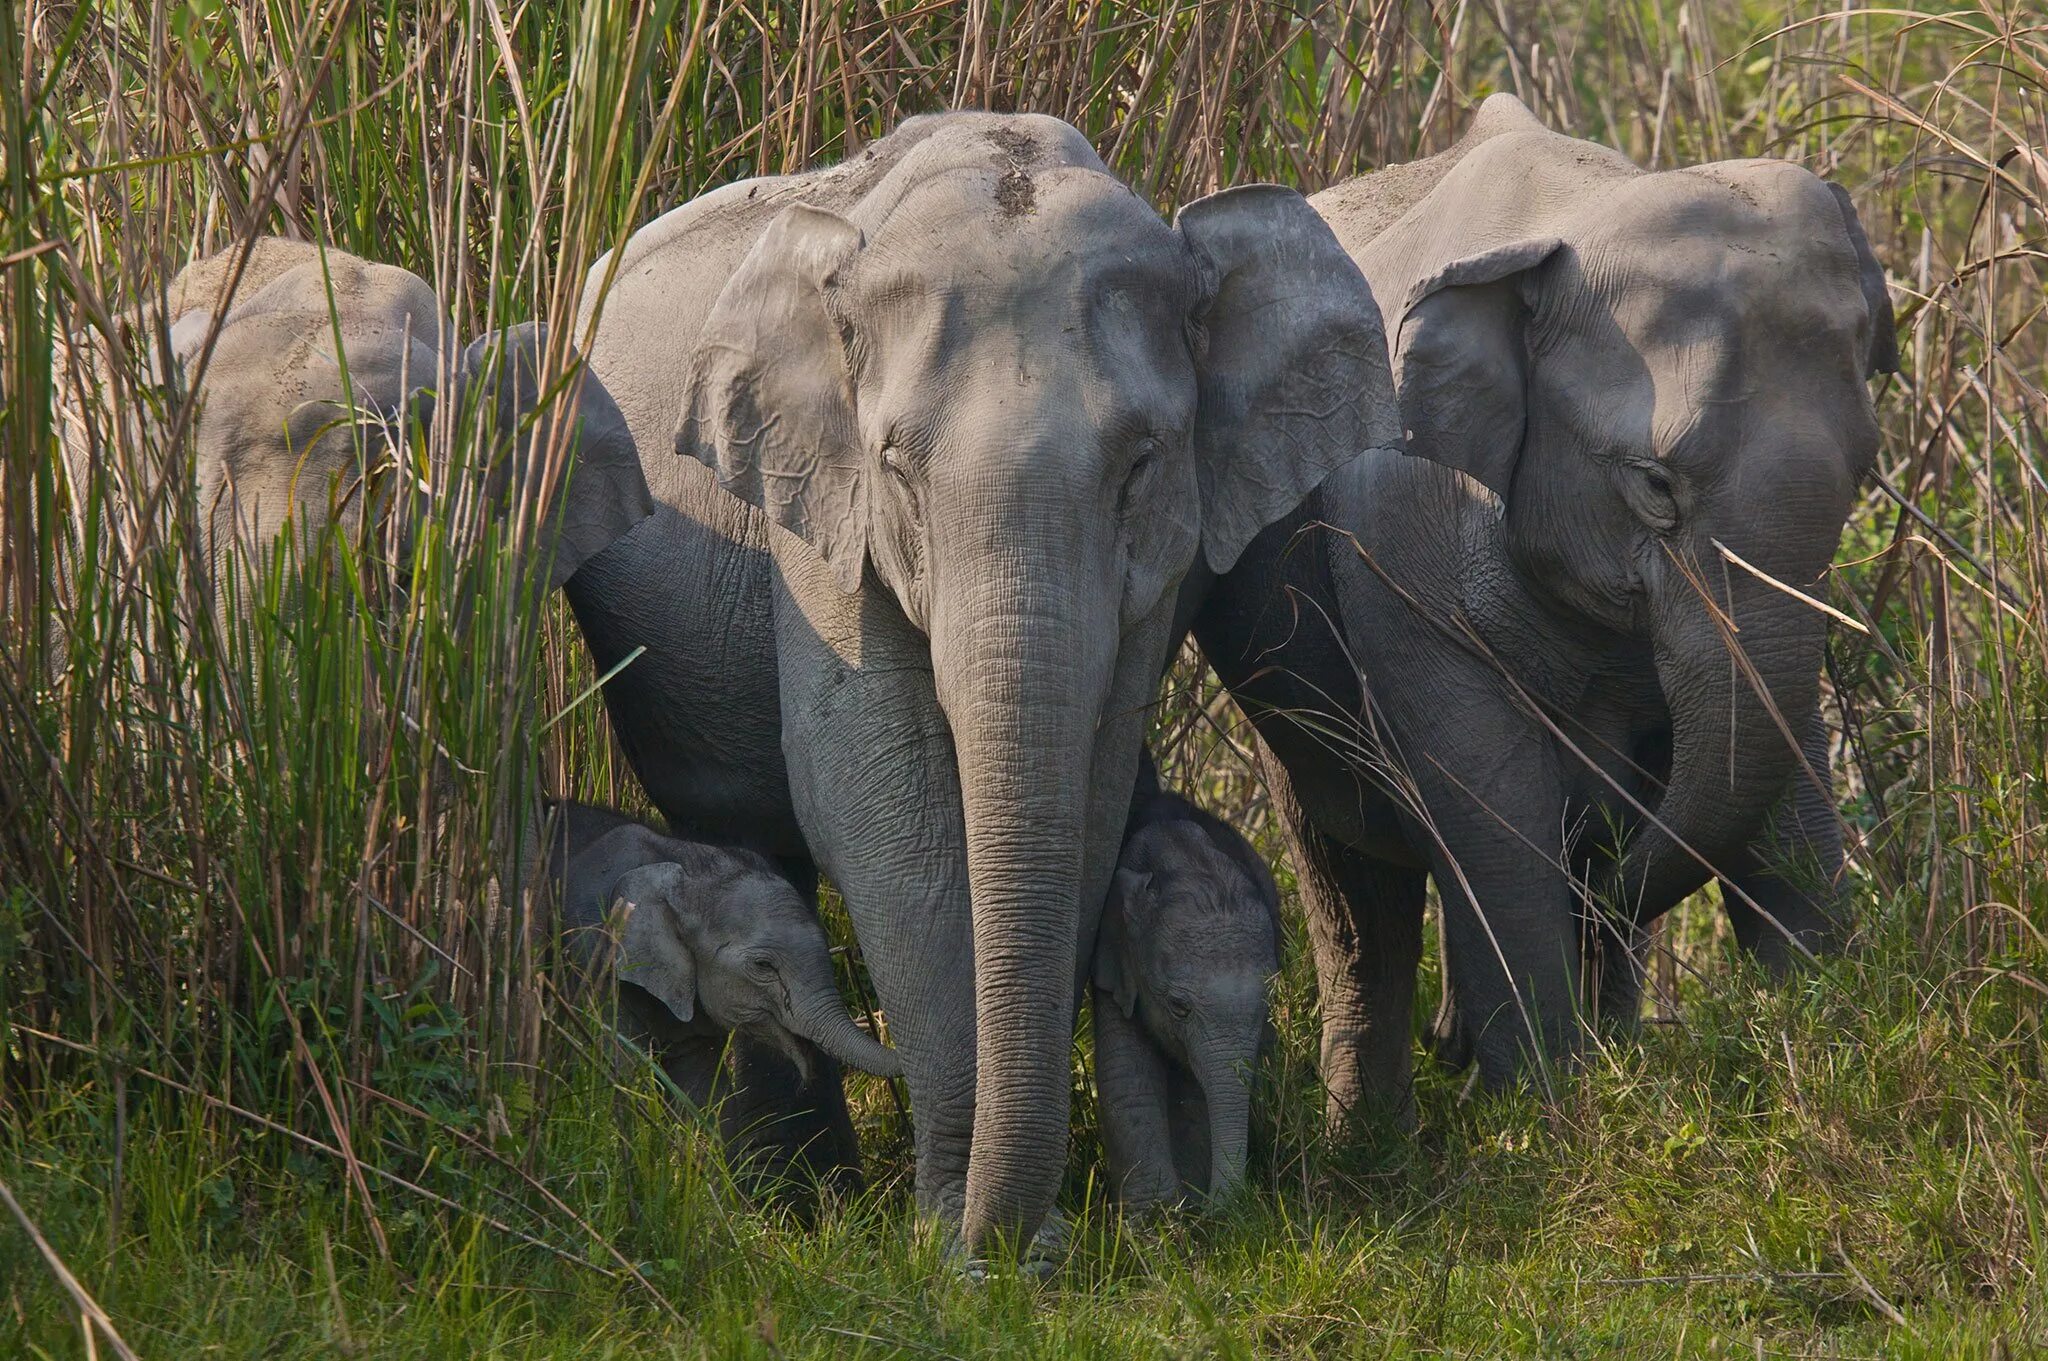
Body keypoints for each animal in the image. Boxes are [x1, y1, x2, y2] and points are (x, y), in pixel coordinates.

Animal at [1089, 753, 1277, 1211]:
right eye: (1178, 1006)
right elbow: (1128, 1074)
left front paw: (1188, 1209)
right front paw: (1154, 1220)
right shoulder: (1119, 962)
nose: (1218, 1210)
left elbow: (1196, 1092)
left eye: (1269, 1004)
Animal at [1196, 93, 1892, 1113]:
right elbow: (1486, 787)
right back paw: (1380, 1127)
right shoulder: (1392, 529)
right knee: (1355, 886)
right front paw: (1543, 1110)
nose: (1449, 1043)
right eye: (1655, 485)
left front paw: (1824, 1024)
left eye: (1865, 467)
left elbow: (1781, 756)